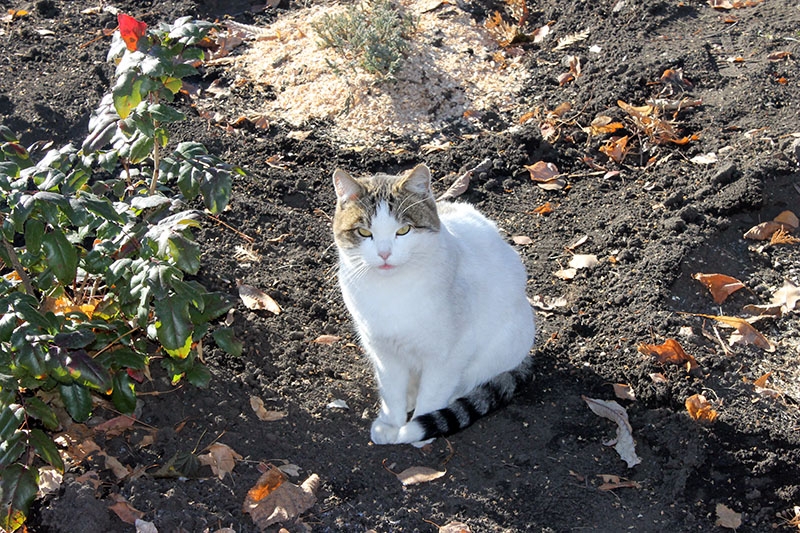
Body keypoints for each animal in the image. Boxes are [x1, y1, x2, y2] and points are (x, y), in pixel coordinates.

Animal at [332, 163, 536, 444]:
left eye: (403, 230)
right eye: (364, 232)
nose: (384, 254)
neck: (392, 292)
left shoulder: (449, 354)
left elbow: (433, 392)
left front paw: (418, 428)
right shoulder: (383, 350)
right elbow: (391, 390)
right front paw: (390, 422)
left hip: (506, 341)